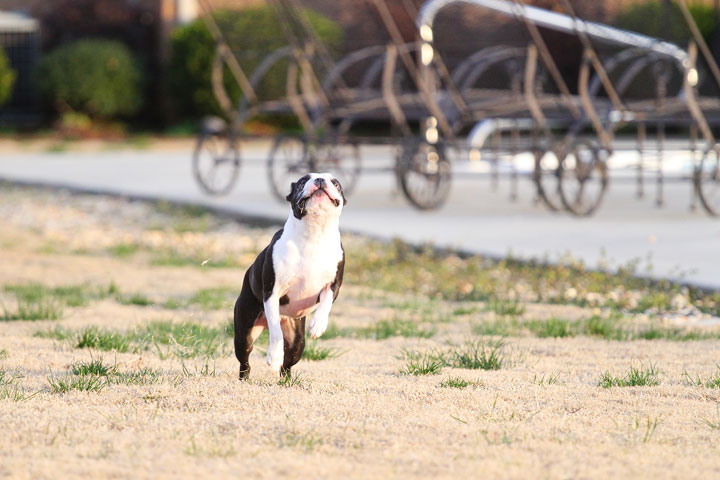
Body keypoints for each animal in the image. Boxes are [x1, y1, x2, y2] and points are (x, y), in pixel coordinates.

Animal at [233, 172, 346, 378]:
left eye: (336, 183)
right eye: (302, 182)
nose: (319, 180)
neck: (314, 234)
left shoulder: (333, 285)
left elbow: (326, 303)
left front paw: (318, 324)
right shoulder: (272, 292)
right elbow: (276, 332)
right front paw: (274, 357)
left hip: (297, 341)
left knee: (289, 362)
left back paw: (286, 380)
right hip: (244, 331)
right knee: (245, 359)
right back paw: (245, 377)